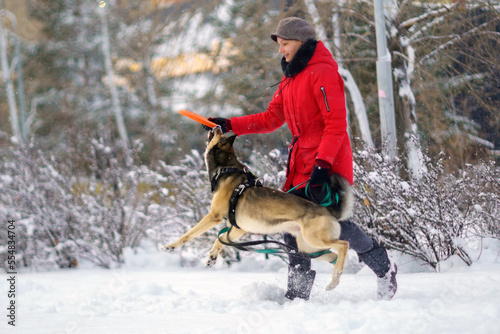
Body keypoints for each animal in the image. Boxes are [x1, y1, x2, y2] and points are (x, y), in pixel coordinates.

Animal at [162, 126, 354, 290]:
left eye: (219, 134)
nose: (217, 126)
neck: (226, 168)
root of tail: (328, 211)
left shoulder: (213, 216)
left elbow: (189, 234)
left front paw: (171, 246)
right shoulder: (238, 228)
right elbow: (221, 239)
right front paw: (212, 257)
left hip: (315, 239)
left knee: (344, 245)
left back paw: (336, 275)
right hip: (309, 248)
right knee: (334, 256)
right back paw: (335, 279)